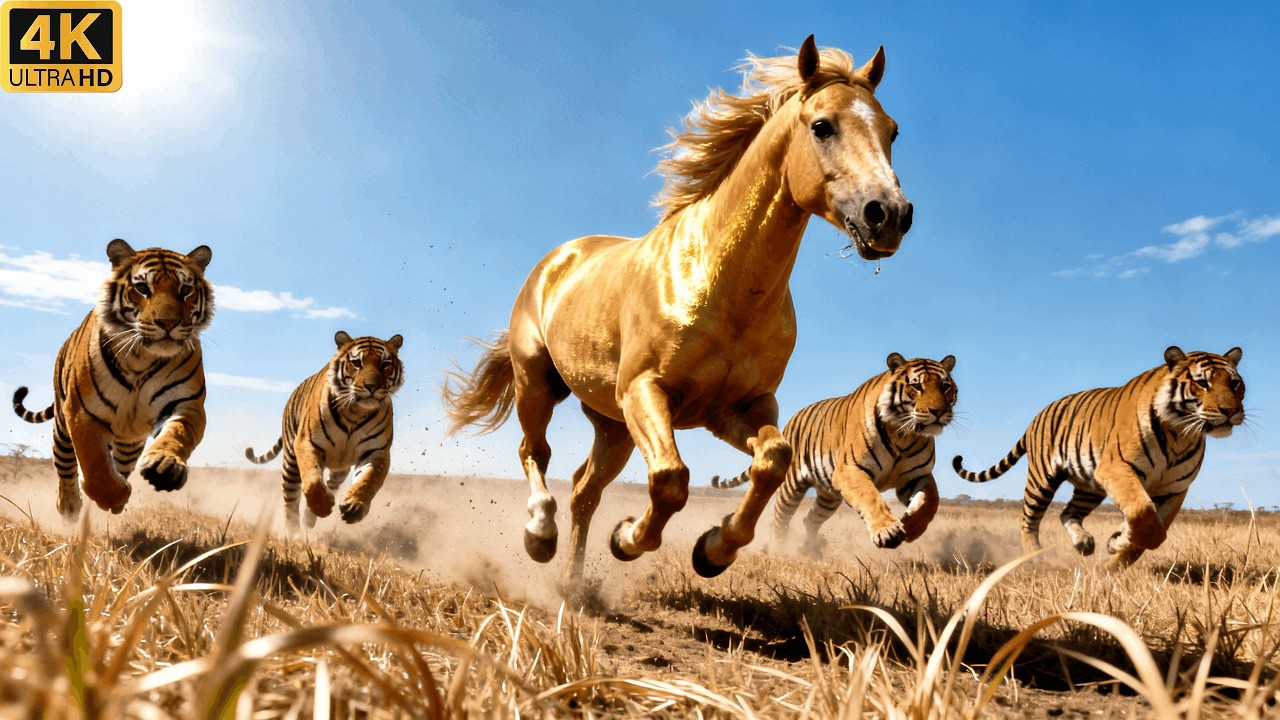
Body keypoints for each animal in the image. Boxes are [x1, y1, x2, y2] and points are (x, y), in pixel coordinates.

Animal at [12, 239, 214, 518]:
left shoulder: (188, 405)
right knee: (65, 466)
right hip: (62, 427)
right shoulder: (81, 414)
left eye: (185, 290)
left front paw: (165, 467)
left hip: (129, 442)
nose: (168, 323)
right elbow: (95, 470)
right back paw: (69, 506)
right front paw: (113, 495)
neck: (143, 357)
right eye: (142, 288)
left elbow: (178, 434)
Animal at [245, 331, 404, 530]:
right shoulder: (306, 443)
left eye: (385, 365)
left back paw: (310, 516)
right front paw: (322, 507)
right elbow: (312, 482)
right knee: (291, 502)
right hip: (290, 462)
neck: (355, 412)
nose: (372, 387)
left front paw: (355, 507)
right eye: (356, 363)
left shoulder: (377, 451)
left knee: (330, 483)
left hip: (340, 468)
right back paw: (293, 532)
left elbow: (369, 479)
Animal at [444, 36, 913, 581]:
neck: (723, 290)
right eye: (822, 125)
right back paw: (540, 536)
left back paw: (573, 584)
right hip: (539, 383)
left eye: (893, 131)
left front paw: (713, 550)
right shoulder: (647, 391)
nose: (890, 215)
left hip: (613, 425)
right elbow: (671, 479)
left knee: (584, 489)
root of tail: (556, 260)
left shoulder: (739, 409)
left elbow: (772, 460)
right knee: (535, 452)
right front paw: (627, 539)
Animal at [711, 353, 957, 558]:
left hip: (828, 497)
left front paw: (913, 526)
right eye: (916, 386)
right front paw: (887, 531)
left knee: (810, 519)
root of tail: (789, 423)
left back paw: (808, 550)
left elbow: (930, 501)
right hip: (791, 487)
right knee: (780, 520)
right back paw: (778, 551)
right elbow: (871, 497)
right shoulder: (850, 471)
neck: (904, 435)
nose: (939, 412)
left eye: (945, 387)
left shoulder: (917, 476)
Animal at [952, 346, 1245, 571]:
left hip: (1088, 488)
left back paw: (1084, 543)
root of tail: (1036, 417)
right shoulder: (1117, 470)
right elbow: (1144, 516)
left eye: (1234, 383)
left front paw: (1117, 547)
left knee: (1068, 512)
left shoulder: (1174, 489)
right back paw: (1035, 557)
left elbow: (1151, 526)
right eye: (1202, 382)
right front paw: (1121, 540)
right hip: (1042, 480)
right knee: (1028, 520)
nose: (1230, 411)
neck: (1181, 435)